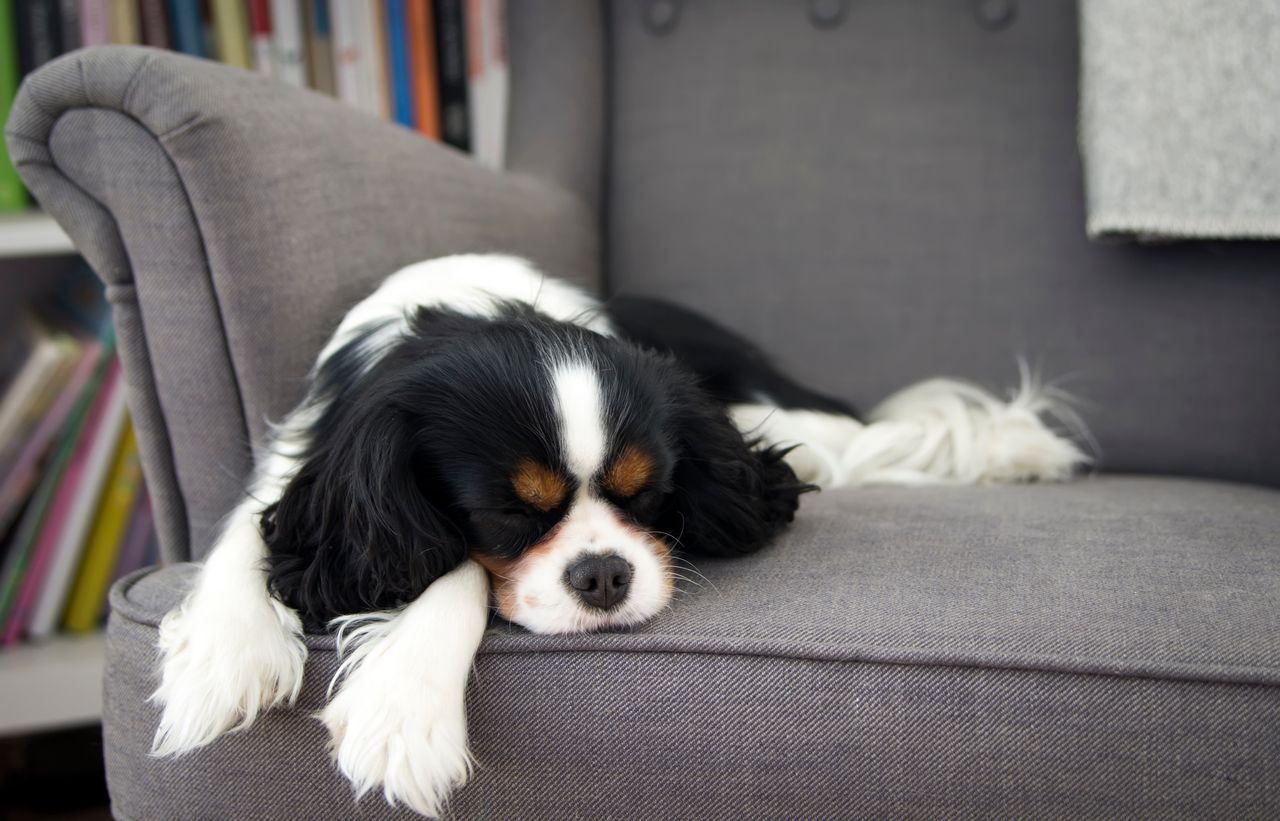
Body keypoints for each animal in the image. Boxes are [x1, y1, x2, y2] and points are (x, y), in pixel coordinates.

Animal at [149, 254, 1090, 814]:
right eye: (510, 512)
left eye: (649, 496)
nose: (604, 573)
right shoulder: (311, 465)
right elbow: (250, 532)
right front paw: (227, 653)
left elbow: (457, 575)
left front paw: (405, 707)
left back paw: (1020, 449)